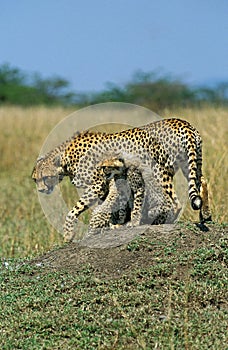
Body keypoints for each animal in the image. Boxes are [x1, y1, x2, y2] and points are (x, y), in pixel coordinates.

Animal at [31, 117, 212, 241]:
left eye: (46, 177)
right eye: (35, 179)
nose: (41, 190)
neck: (65, 157)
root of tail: (182, 122)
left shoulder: (97, 184)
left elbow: (76, 209)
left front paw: (69, 233)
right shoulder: (107, 186)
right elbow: (108, 206)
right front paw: (110, 225)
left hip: (160, 170)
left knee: (174, 201)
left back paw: (158, 222)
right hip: (191, 164)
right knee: (202, 182)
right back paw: (206, 214)